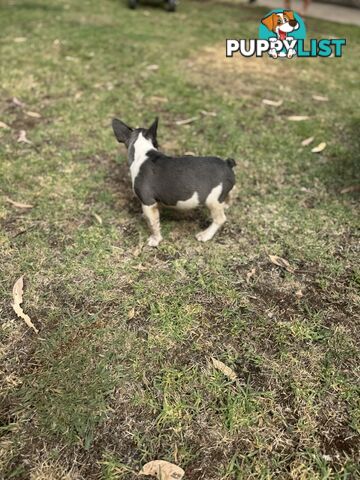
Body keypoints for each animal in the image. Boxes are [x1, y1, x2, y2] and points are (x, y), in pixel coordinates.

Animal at [112, 117, 236, 248]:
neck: (143, 151)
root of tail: (228, 164)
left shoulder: (148, 202)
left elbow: (153, 224)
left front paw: (155, 239)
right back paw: (226, 204)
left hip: (212, 200)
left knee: (220, 218)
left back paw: (205, 235)